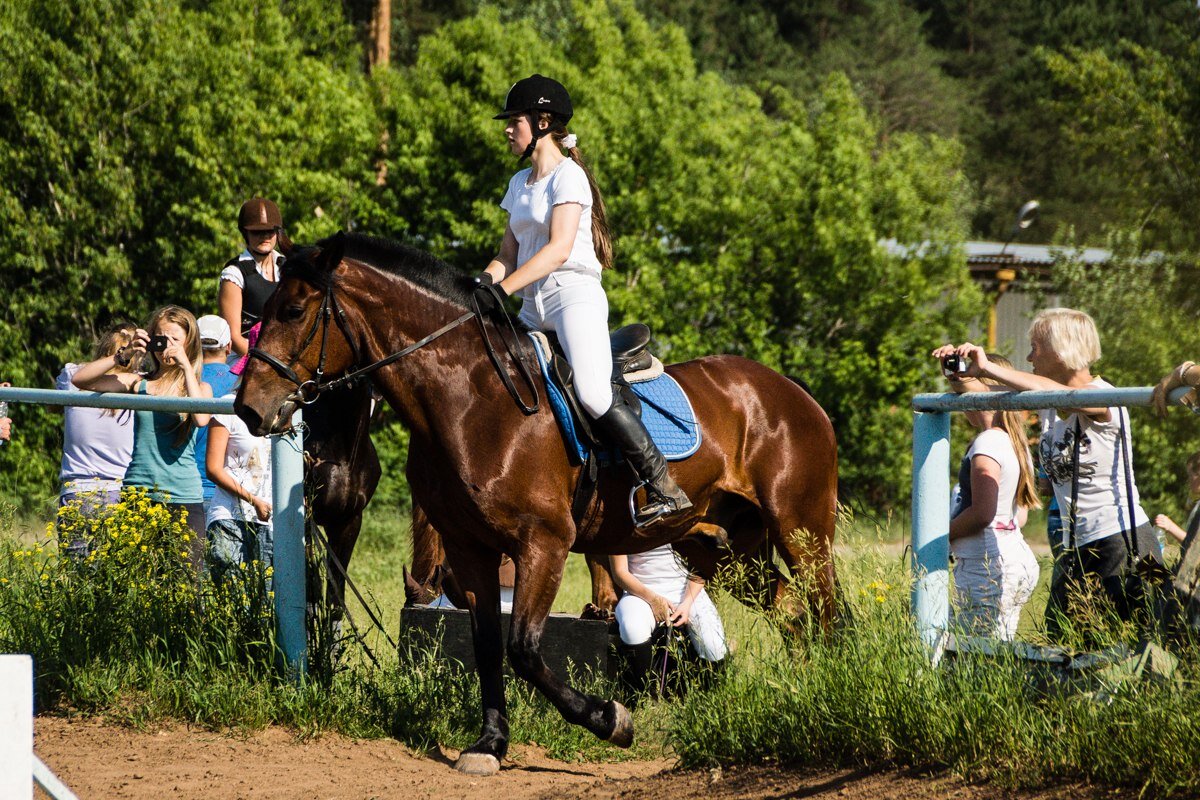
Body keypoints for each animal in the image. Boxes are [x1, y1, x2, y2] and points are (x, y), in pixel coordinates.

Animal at [231, 235, 835, 777]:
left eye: (293, 310)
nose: (248, 410)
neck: (472, 400)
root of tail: (792, 392)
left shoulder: (544, 543)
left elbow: (523, 648)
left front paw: (610, 719)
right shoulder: (468, 548)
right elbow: (487, 646)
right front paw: (490, 743)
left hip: (801, 530)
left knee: (825, 612)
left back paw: (832, 693)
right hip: (732, 550)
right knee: (793, 612)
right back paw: (805, 693)